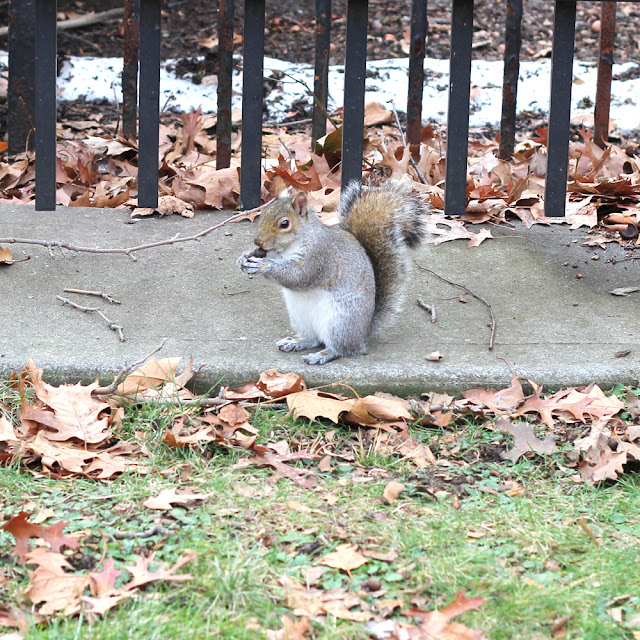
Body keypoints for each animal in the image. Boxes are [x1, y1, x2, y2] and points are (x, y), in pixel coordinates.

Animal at [238, 179, 432, 364]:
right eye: (263, 213)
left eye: (284, 224)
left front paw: (263, 265)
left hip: (340, 323)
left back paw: (322, 355)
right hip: (300, 318)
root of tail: (364, 332)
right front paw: (244, 257)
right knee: (314, 339)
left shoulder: (319, 256)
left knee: (342, 349)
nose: (258, 242)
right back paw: (296, 342)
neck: (288, 248)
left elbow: (298, 277)